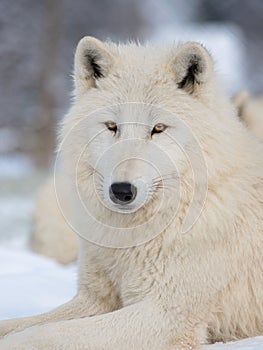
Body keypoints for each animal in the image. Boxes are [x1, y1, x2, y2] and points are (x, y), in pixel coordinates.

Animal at [0, 37, 263, 348]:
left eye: (158, 128)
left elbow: (43, 334)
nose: (122, 191)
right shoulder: (94, 299)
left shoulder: (165, 315)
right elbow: (20, 324)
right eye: (112, 126)